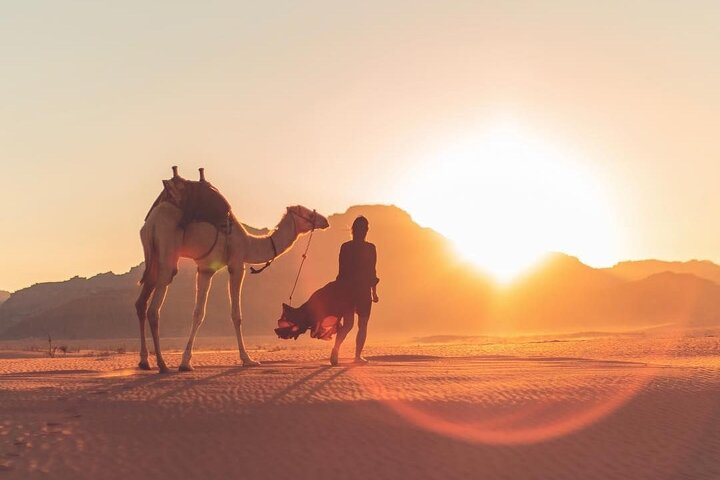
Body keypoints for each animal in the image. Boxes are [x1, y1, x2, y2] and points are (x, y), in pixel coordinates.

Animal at [135, 167, 330, 373]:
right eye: (308, 214)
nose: (324, 220)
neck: (248, 243)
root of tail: (151, 222)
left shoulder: (205, 270)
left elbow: (198, 313)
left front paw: (185, 362)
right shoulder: (236, 264)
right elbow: (236, 315)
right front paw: (248, 359)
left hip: (152, 256)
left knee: (141, 303)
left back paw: (144, 361)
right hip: (167, 250)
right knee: (154, 308)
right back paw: (162, 364)